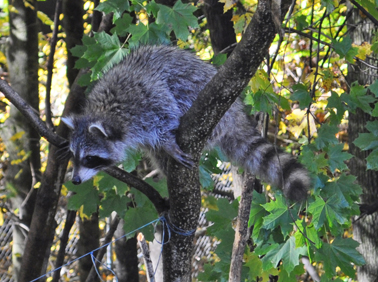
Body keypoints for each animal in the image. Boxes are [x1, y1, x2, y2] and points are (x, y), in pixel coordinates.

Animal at [62, 45, 310, 202]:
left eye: (90, 158)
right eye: (73, 155)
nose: (75, 180)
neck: (103, 113)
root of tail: (236, 113)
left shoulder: (145, 100)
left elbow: (166, 114)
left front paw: (168, 142)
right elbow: (155, 148)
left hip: (203, 95)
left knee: (181, 92)